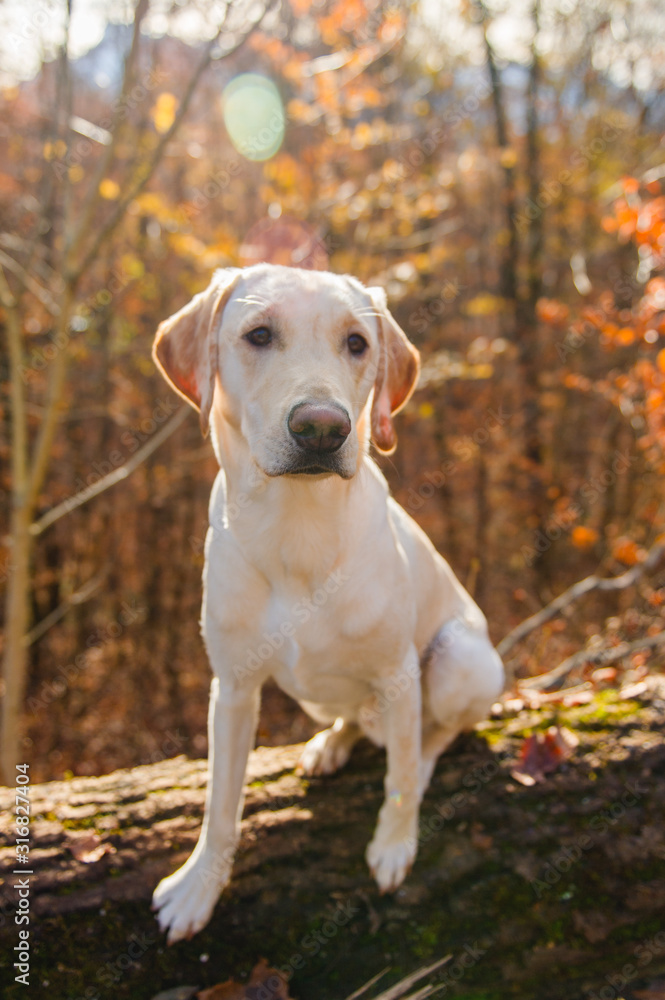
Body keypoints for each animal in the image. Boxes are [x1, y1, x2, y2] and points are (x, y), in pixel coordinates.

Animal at [150, 262, 504, 940]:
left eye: (357, 344)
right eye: (259, 335)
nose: (322, 428)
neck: (297, 533)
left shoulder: (399, 672)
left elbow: (400, 772)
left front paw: (394, 843)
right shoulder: (232, 689)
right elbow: (220, 805)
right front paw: (200, 887)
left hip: (462, 660)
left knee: (430, 738)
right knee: (353, 719)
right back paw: (332, 744)